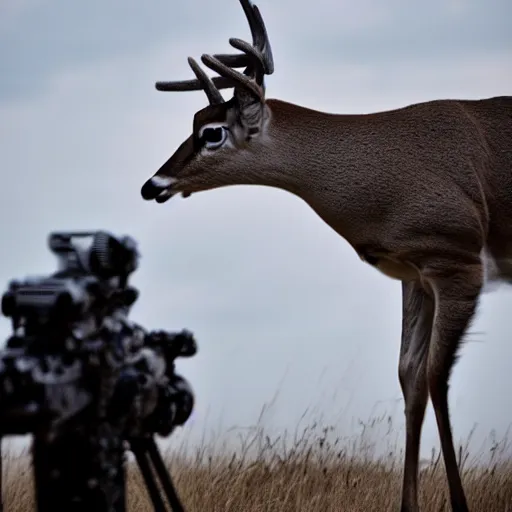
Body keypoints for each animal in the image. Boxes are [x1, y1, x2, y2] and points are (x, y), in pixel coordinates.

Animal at [140, 2, 512, 510]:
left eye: (211, 132)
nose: (152, 185)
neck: (387, 180)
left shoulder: (457, 259)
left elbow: (436, 376)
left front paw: (459, 503)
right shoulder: (414, 273)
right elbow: (409, 376)